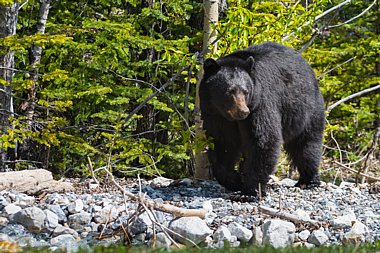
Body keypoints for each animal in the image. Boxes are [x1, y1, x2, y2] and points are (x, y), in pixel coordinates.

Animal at [197, 42, 326, 198]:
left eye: (245, 91)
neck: (229, 116)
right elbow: (223, 143)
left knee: (306, 145)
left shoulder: (260, 104)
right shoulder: (216, 115)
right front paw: (235, 181)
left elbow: (263, 139)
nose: (243, 111)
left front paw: (250, 191)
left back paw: (308, 181)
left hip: (306, 111)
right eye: (229, 91)